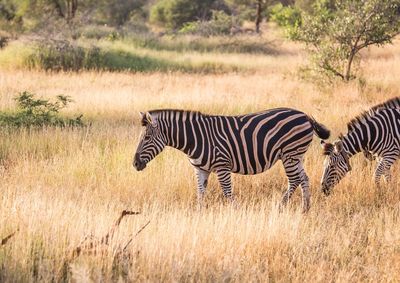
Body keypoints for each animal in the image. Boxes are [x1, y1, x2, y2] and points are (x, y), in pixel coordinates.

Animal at [133, 107, 330, 212]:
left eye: (147, 138)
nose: (135, 164)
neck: (196, 139)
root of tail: (304, 115)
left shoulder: (222, 166)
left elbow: (227, 193)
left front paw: (235, 212)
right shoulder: (200, 169)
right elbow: (200, 193)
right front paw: (199, 215)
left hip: (290, 154)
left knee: (294, 180)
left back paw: (280, 207)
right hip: (297, 156)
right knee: (303, 178)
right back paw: (305, 209)